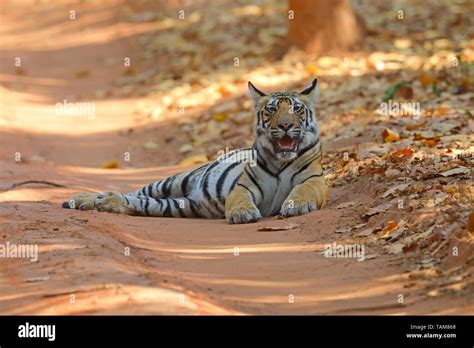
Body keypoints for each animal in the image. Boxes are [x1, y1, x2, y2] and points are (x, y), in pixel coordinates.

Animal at [62, 79, 330, 224]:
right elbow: (240, 198)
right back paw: (85, 199)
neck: (281, 160)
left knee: (139, 202)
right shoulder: (243, 186)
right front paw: (242, 213)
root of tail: (192, 195)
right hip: (170, 182)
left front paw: (296, 206)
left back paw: (108, 203)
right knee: (132, 192)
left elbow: (303, 190)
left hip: (178, 205)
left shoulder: (315, 181)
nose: (285, 125)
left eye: (297, 109)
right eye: (272, 110)